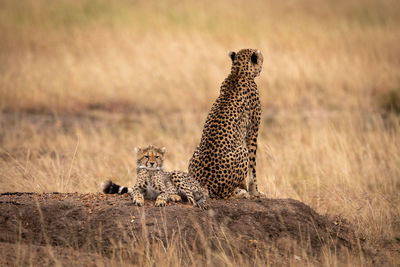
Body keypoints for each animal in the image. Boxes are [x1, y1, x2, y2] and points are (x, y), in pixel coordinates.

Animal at [189, 48, 264, 199]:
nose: (262, 67)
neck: (238, 72)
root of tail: (205, 185)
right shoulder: (253, 131)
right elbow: (253, 166)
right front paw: (255, 192)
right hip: (242, 150)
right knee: (226, 194)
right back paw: (240, 193)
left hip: (196, 150)